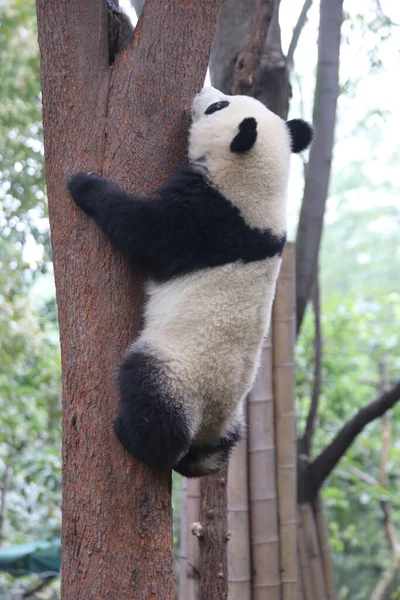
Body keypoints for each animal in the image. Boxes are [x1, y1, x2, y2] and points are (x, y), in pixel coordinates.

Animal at [68, 85, 312, 478]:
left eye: (218, 106)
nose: (203, 90)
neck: (258, 190)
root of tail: (207, 425)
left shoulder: (207, 222)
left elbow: (144, 231)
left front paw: (83, 183)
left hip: (177, 371)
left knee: (151, 401)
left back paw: (135, 437)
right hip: (230, 419)